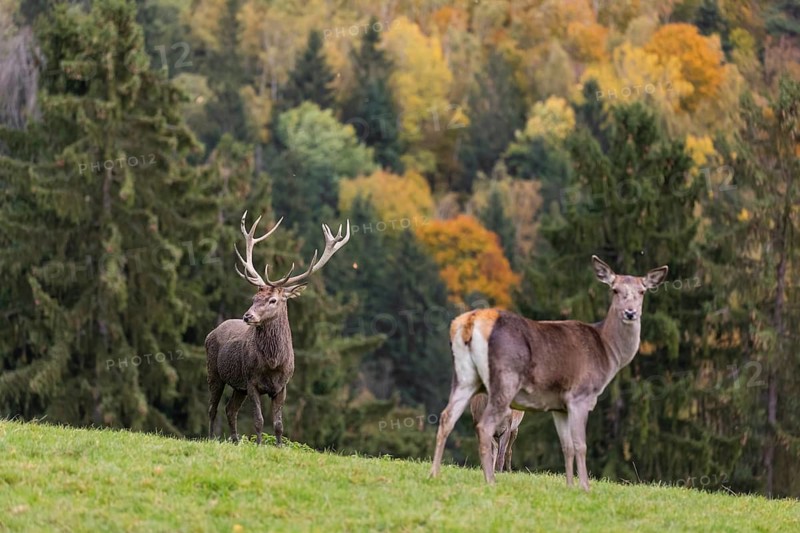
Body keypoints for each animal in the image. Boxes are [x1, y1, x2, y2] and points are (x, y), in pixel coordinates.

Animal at [205, 211, 350, 446]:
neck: (273, 363)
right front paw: (258, 444)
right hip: (214, 371)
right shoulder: (251, 381)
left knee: (230, 409)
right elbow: (259, 420)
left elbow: (279, 424)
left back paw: (235, 440)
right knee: (213, 408)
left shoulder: (282, 386)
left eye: (273, 300)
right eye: (254, 298)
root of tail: (211, 332)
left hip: (237, 386)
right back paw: (210, 438)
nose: (248, 316)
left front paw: (280, 446)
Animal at [430, 255, 668, 490]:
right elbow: (580, 444)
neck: (607, 351)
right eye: (615, 290)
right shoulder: (579, 395)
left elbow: (567, 446)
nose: (630, 312)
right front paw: (585, 487)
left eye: (642, 291)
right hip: (505, 379)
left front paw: (570, 486)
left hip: (465, 377)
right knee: (486, 427)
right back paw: (490, 481)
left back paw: (434, 474)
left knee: (447, 417)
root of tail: (470, 322)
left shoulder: (558, 405)